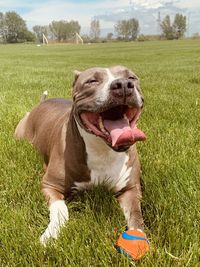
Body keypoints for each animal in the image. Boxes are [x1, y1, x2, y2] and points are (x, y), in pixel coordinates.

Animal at [14, 65, 147, 249]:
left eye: (132, 77)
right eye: (92, 81)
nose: (123, 85)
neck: (103, 150)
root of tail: (41, 103)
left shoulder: (130, 189)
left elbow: (136, 215)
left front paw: (139, 241)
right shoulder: (49, 185)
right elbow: (61, 209)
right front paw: (50, 234)